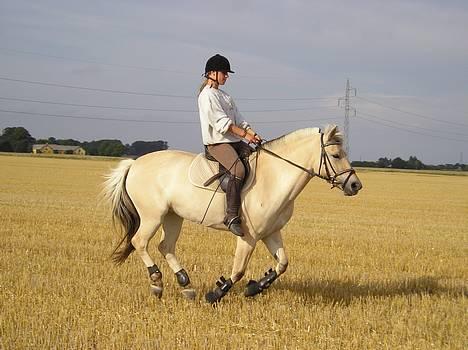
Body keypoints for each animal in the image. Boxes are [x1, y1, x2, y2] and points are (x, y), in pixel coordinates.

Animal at [104, 124, 364, 302]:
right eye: (336, 155)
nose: (355, 186)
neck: (274, 177)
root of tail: (134, 164)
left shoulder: (271, 233)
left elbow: (282, 264)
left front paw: (255, 287)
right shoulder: (248, 236)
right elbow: (238, 270)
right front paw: (216, 293)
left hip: (172, 216)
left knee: (165, 246)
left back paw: (186, 285)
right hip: (152, 215)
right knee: (139, 242)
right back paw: (157, 282)